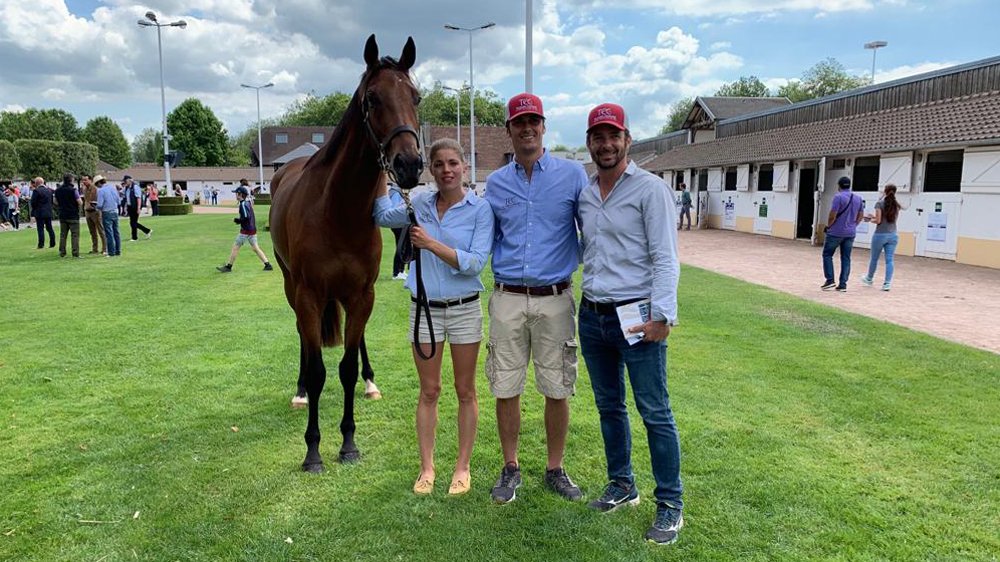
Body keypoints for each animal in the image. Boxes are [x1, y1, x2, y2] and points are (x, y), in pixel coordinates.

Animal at [268, 34, 423, 471]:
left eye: (416, 97)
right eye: (372, 98)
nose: (409, 164)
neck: (337, 209)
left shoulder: (361, 294)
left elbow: (347, 368)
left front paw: (349, 443)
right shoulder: (309, 295)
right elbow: (319, 369)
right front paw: (313, 450)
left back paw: (372, 382)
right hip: (291, 287)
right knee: (304, 341)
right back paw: (300, 391)